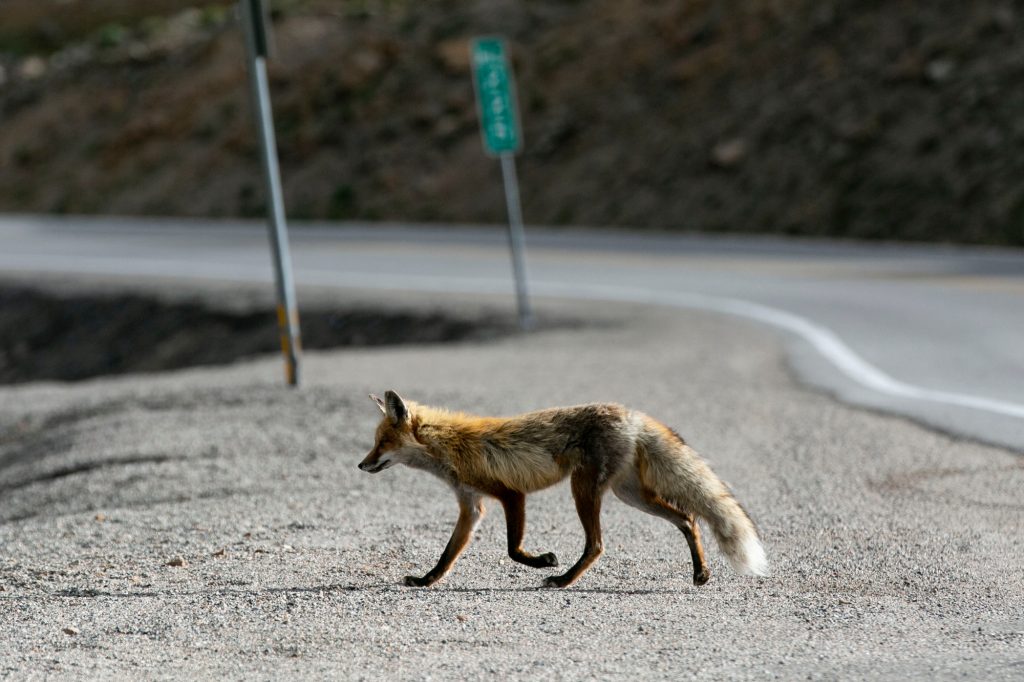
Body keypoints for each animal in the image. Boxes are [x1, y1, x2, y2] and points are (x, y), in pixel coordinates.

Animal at [356, 391, 765, 585]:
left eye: (381, 443)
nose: (360, 465)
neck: (449, 445)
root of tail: (632, 414)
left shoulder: (510, 494)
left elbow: (512, 549)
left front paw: (542, 561)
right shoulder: (471, 505)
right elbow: (446, 556)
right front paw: (425, 581)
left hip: (583, 489)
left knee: (597, 545)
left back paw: (563, 579)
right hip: (629, 494)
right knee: (688, 518)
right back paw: (701, 573)